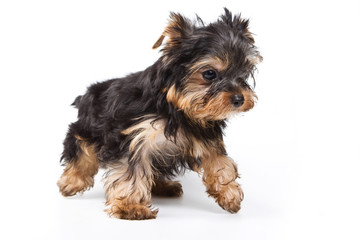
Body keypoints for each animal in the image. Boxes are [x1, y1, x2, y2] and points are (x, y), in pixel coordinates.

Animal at [58, 8, 262, 219]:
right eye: (209, 74)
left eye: (244, 73)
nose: (239, 99)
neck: (178, 109)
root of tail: (87, 94)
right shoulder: (134, 137)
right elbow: (132, 169)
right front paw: (131, 207)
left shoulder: (205, 134)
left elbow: (220, 161)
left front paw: (229, 194)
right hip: (88, 126)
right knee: (80, 148)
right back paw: (71, 181)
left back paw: (164, 186)